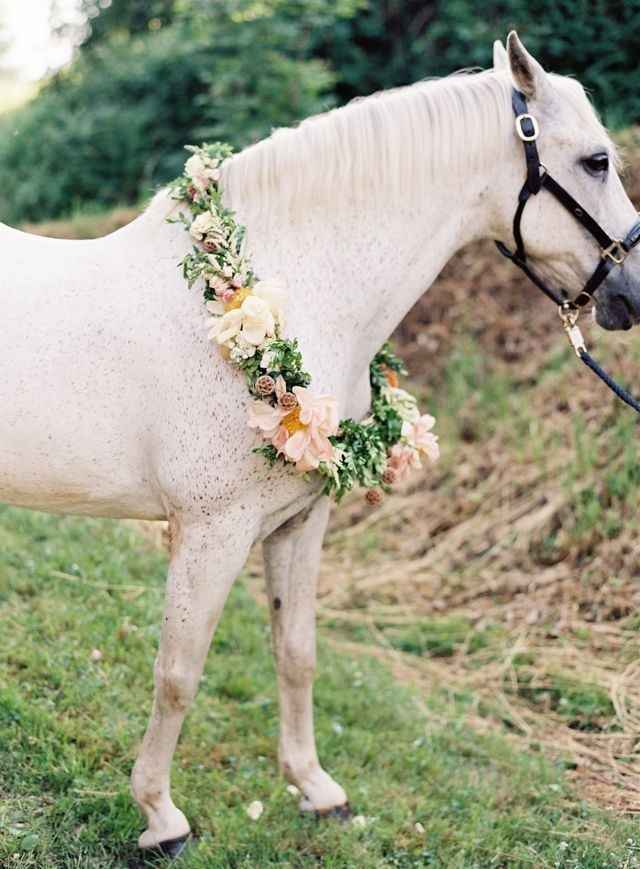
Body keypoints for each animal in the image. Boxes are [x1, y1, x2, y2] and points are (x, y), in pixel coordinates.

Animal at [2, 31, 639, 856]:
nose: (632, 293)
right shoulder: (211, 529)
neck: (283, 287)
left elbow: (296, 653)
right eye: (596, 160)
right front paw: (160, 816)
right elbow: (178, 672)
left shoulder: (301, 520)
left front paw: (315, 788)